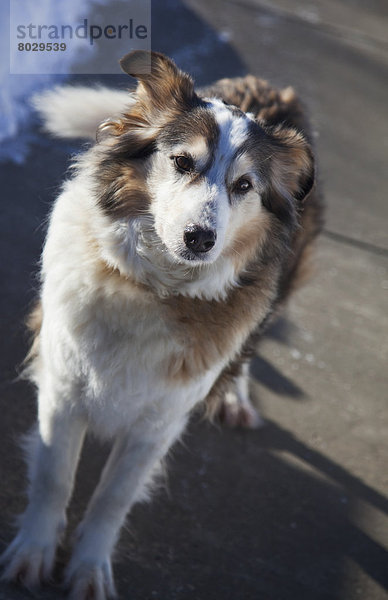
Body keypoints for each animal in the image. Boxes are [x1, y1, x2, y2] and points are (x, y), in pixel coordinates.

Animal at [0, 52, 322, 600]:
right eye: (182, 162)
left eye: (244, 186)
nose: (200, 238)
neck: (151, 286)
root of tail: (269, 87)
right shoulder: (62, 387)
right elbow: (54, 478)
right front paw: (34, 554)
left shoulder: (158, 423)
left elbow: (113, 499)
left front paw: (89, 569)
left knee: (249, 347)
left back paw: (233, 396)